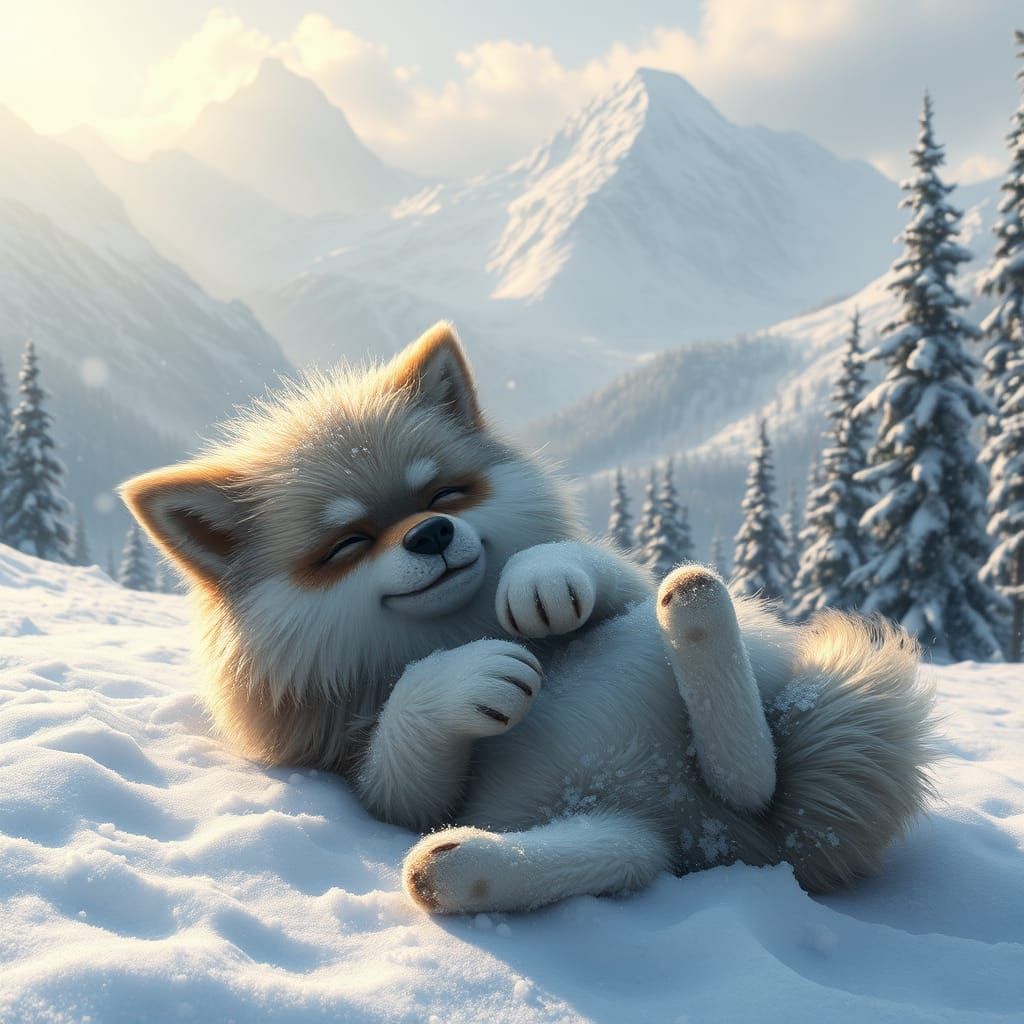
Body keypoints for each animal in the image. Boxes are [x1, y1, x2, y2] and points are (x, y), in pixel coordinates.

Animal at [121, 322, 937, 914]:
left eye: (445, 495)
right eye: (346, 544)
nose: (431, 535)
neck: (451, 627)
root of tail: (741, 843)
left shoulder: (618, 588)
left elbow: (591, 568)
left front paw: (538, 585)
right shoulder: (366, 776)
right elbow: (405, 759)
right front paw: (467, 679)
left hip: (660, 679)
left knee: (746, 762)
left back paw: (693, 604)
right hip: (627, 830)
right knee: (706, 806)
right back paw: (459, 862)